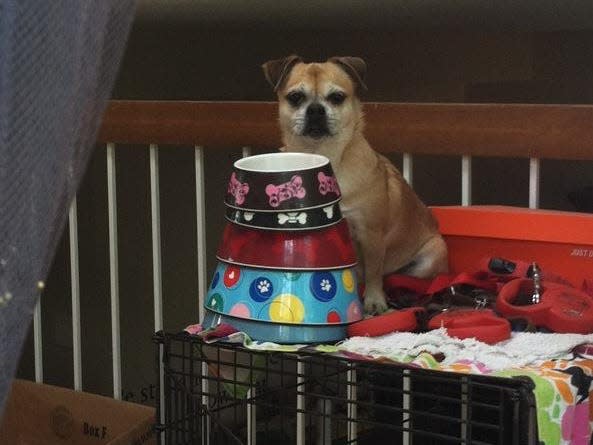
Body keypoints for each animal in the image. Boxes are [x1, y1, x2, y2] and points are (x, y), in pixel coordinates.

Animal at [262, 55, 446, 312]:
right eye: (295, 97)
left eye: (337, 97)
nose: (316, 109)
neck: (324, 156)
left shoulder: (371, 235)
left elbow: (373, 272)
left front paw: (374, 301)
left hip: (431, 256)